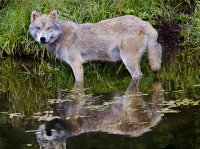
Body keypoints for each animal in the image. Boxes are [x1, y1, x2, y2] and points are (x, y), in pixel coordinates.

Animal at [28, 10, 162, 88]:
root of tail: (144, 22)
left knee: (138, 76)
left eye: (49, 28)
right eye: (38, 28)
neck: (61, 36)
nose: (42, 38)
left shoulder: (76, 64)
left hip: (129, 62)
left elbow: (78, 83)